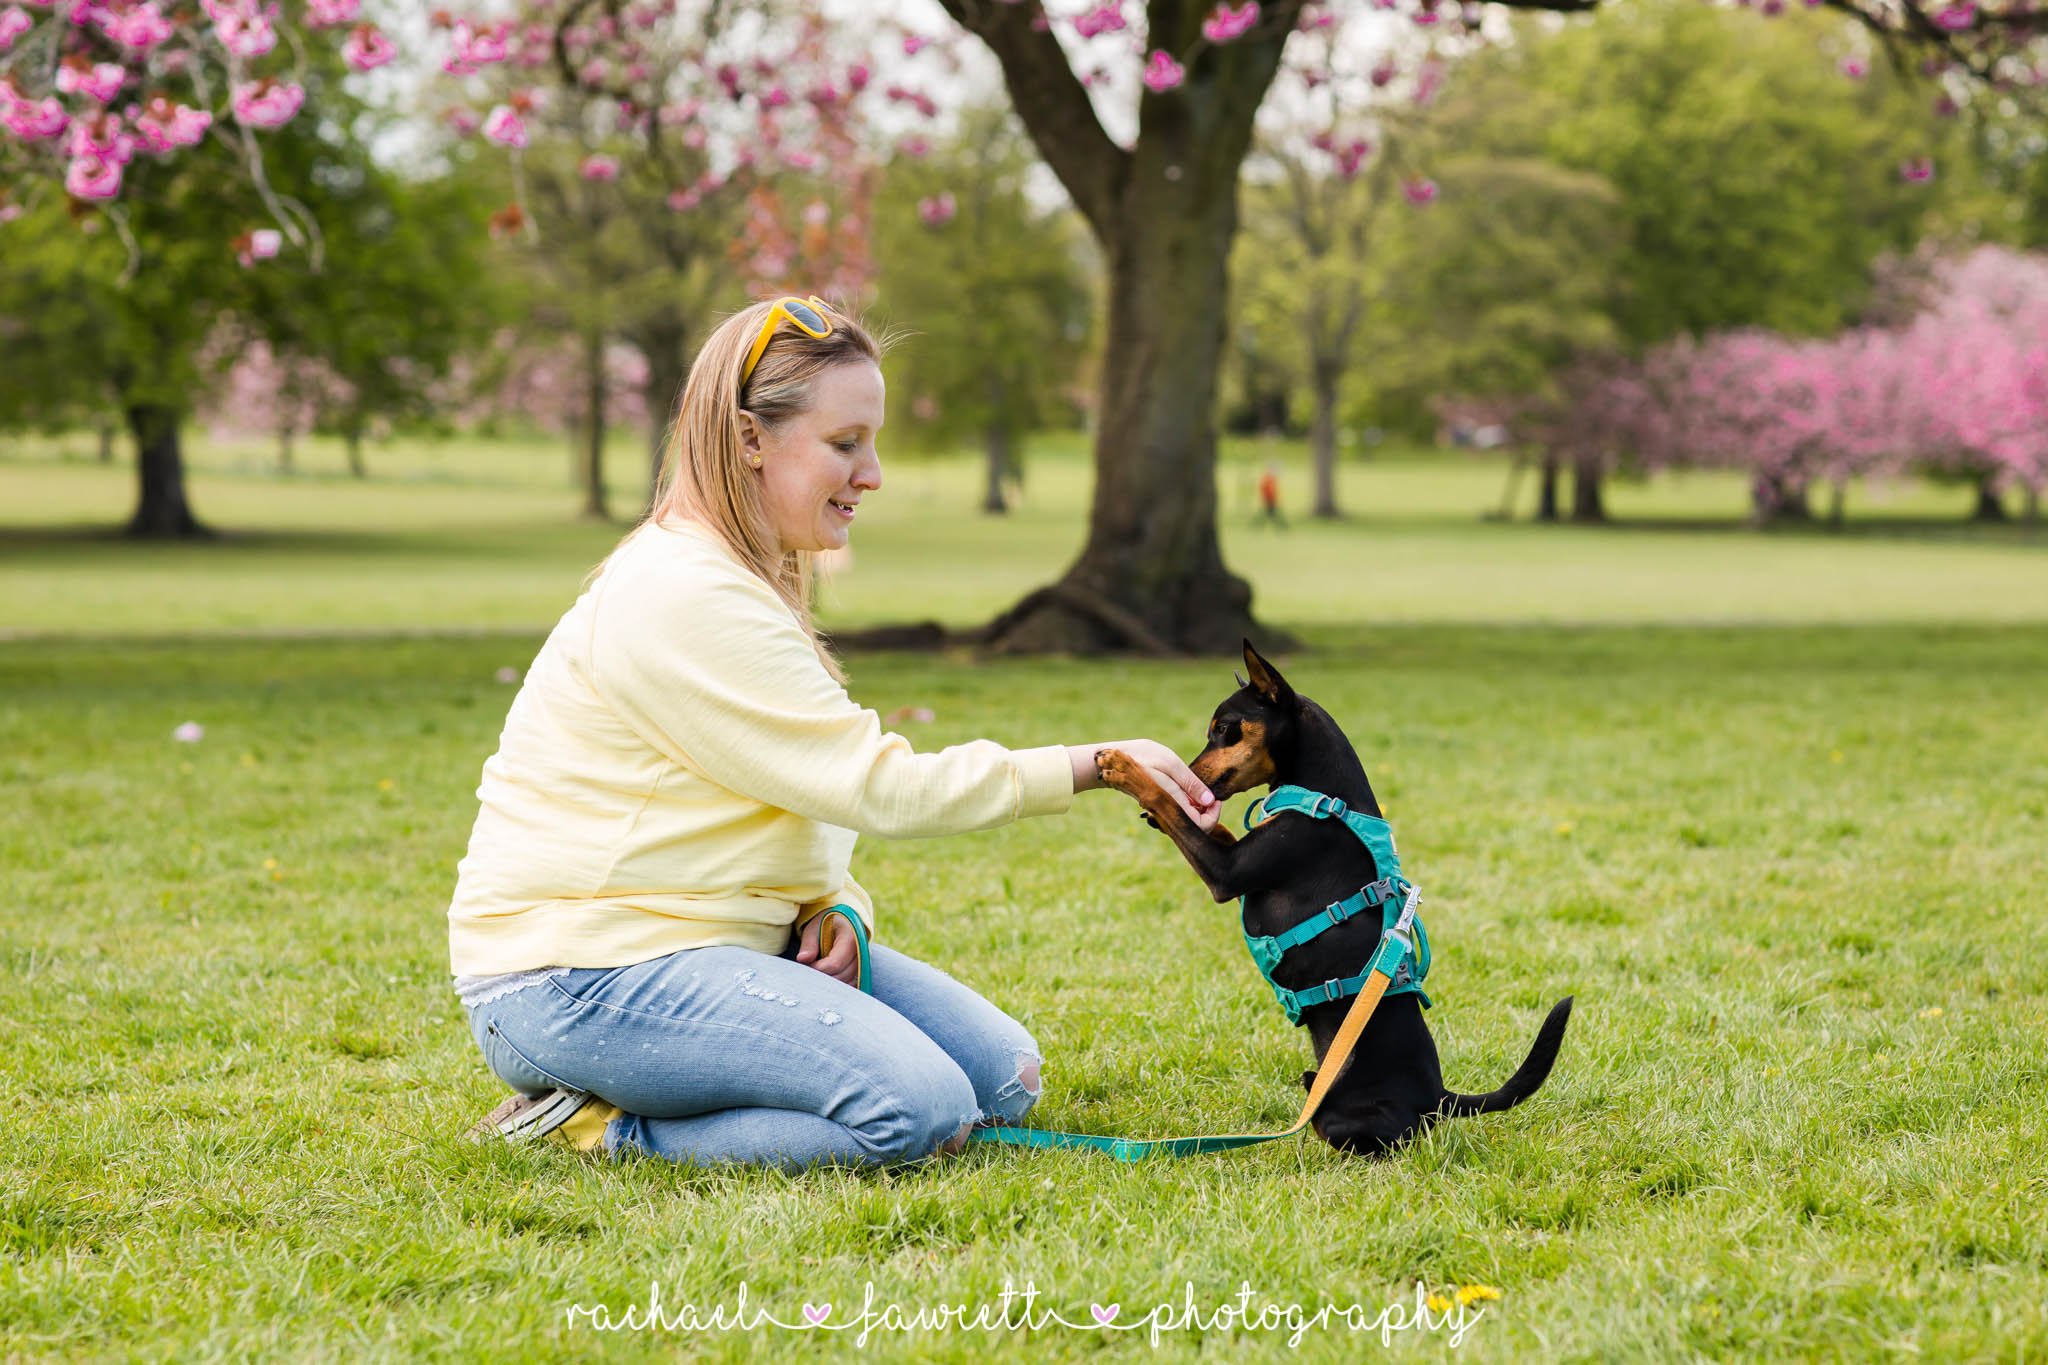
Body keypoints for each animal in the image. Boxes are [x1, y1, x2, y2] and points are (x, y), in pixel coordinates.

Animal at [1097, 642, 1572, 1154]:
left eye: (1225, 728)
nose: (1191, 773)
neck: (1323, 794)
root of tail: (1440, 1098)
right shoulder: (1233, 854)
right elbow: (1205, 823)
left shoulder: (1227, 874)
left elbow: (1171, 808)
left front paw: (1124, 766)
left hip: (1347, 1116)